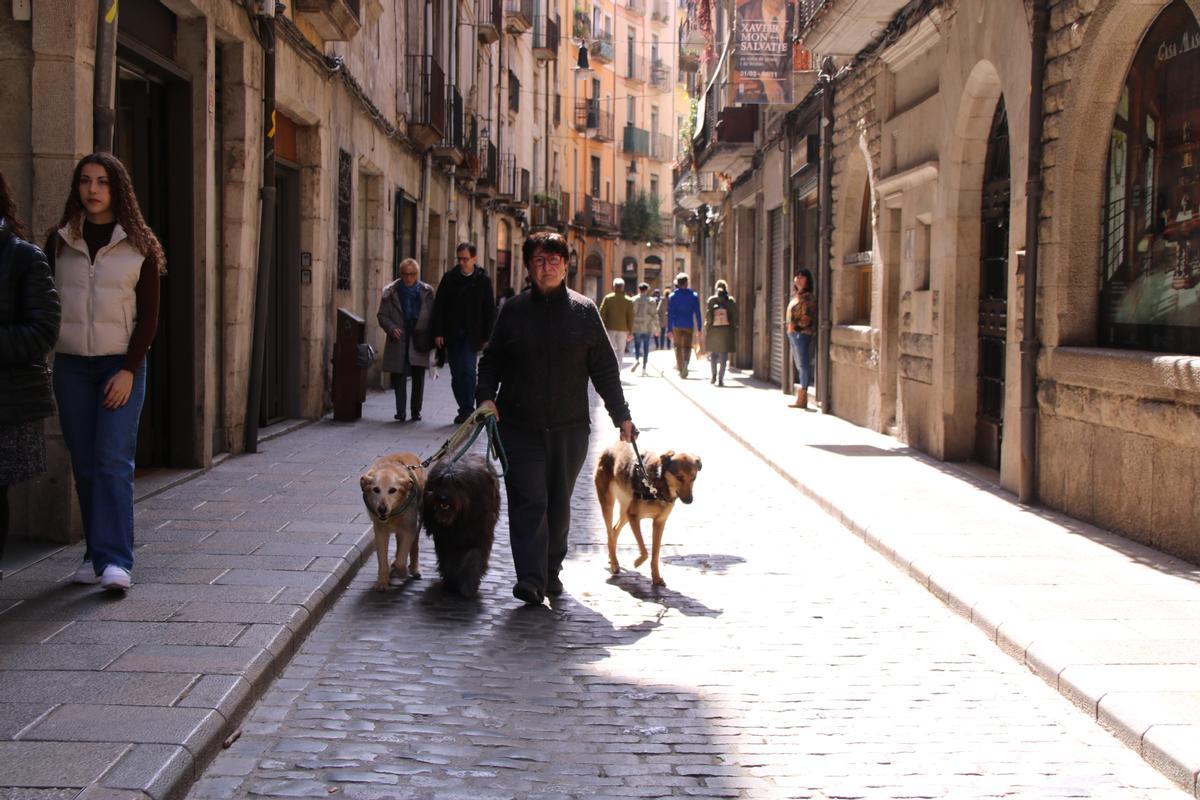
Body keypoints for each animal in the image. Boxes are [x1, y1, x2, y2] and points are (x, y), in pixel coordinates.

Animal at [355, 453, 427, 592]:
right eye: (376, 489)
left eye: (392, 490)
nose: (382, 509)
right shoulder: (380, 530)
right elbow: (382, 560)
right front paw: (382, 582)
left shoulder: (409, 528)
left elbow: (401, 560)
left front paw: (403, 571)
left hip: (418, 519)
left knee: (414, 546)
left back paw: (414, 568)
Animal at [420, 453, 499, 597]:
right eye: (439, 480)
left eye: (457, 483)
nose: (443, 497)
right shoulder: (444, 539)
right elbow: (448, 559)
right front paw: (451, 580)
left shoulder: (480, 533)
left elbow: (474, 557)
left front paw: (469, 585)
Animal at [592, 443, 700, 587]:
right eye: (679, 477)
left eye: (693, 477)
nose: (689, 500)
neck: (658, 485)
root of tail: (611, 446)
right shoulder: (633, 516)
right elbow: (644, 551)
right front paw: (637, 562)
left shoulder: (659, 522)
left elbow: (655, 553)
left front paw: (656, 578)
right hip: (609, 504)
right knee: (610, 533)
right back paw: (614, 564)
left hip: (625, 509)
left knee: (614, 531)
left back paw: (612, 558)